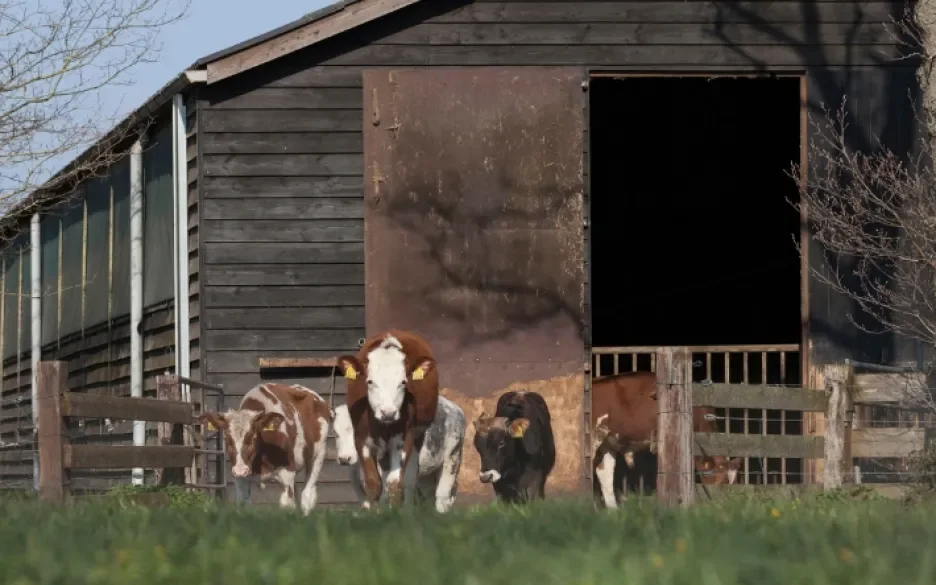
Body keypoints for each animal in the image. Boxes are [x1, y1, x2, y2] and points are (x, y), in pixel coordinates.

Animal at [197, 384, 332, 516]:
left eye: (253, 437)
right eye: (226, 439)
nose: (240, 470)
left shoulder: (286, 473)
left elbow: (286, 506)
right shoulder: (240, 479)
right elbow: (243, 505)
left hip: (318, 456)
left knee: (307, 494)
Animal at [334, 392, 468, 512]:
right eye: (335, 433)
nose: (344, 458)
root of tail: (455, 409)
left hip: (452, 458)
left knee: (443, 492)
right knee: (429, 493)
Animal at [336, 330, 438, 508]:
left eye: (403, 382)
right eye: (370, 382)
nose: (388, 413)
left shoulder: (403, 439)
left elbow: (394, 483)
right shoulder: (361, 438)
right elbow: (373, 482)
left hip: (418, 436)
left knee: (409, 479)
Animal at [588, 374, 744, 506]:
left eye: (735, 482)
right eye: (721, 482)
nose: (724, 505)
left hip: (608, 442)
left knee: (604, 473)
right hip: (594, 436)